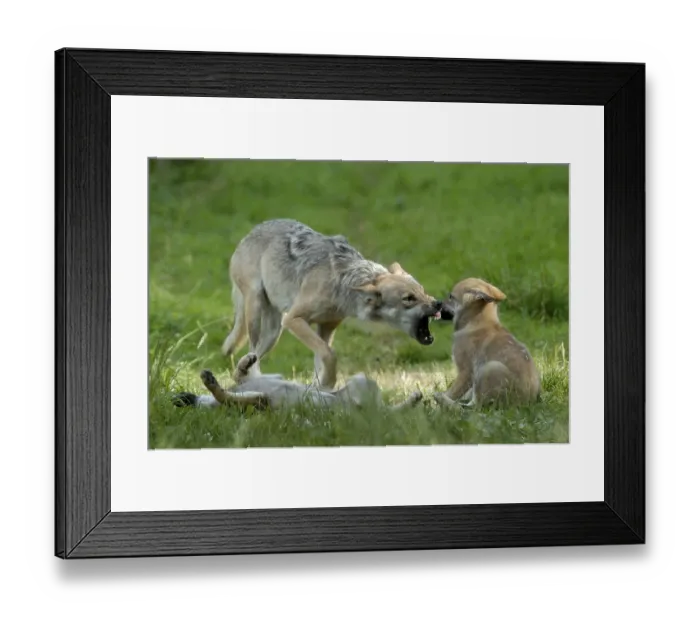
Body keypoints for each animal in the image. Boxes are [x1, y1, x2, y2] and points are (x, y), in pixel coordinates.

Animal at [221, 219, 442, 389]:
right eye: (408, 298)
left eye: (422, 291)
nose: (439, 303)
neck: (343, 281)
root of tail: (251, 232)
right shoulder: (293, 319)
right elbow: (329, 354)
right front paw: (327, 383)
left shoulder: (326, 328)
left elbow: (322, 357)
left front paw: (319, 387)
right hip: (260, 312)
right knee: (250, 351)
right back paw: (252, 377)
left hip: (274, 333)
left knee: (252, 355)